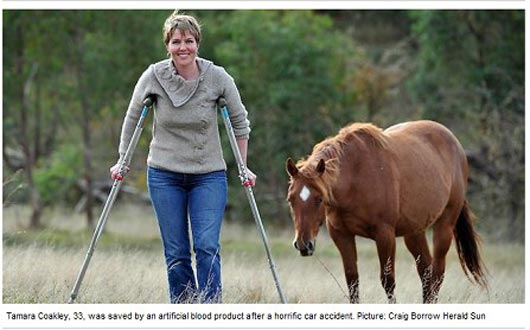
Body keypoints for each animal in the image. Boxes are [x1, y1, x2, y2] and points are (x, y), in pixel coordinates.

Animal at [286, 120, 484, 302]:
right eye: (291, 200)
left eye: (319, 199)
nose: (303, 245)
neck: (355, 176)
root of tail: (456, 146)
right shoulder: (341, 235)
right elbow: (352, 282)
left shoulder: (385, 235)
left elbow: (388, 281)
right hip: (414, 232)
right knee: (426, 273)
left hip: (444, 227)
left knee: (437, 274)